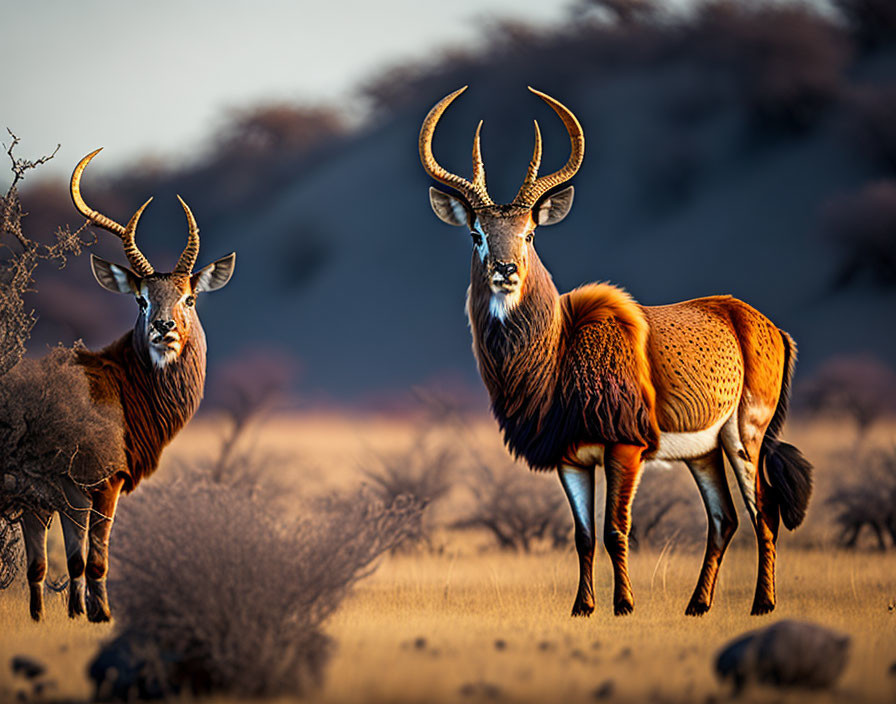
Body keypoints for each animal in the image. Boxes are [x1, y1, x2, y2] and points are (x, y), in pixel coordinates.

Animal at [19, 150, 236, 620]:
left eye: (189, 296)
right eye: (141, 298)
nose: (163, 328)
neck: (120, 384)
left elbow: (72, 558)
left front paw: (76, 614)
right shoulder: (101, 483)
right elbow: (94, 558)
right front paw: (101, 615)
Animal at [418, 86, 812, 616]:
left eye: (529, 232)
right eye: (476, 233)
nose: (505, 271)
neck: (561, 349)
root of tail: (766, 327)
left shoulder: (624, 448)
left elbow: (614, 530)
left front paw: (623, 605)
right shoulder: (571, 458)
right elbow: (583, 536)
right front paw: (582, 608)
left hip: (744, 437)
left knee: (763, 512)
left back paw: (762, 605)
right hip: (703, 452)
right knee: (723, 518)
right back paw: (697, 605)